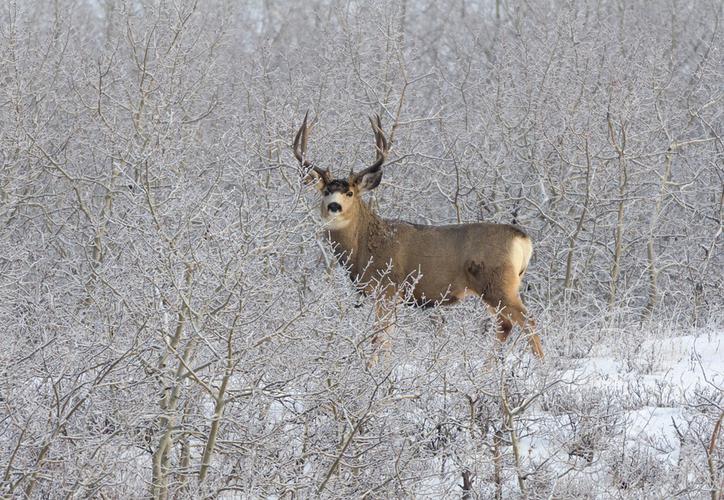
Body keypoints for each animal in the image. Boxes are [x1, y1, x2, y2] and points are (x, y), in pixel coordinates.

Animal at [294, 112, 544, 364]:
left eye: (350, 193)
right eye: (326, 191)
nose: (334, 206)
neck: (365, 246)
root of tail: (523, 239)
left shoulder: (388, 288)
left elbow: (378, 338)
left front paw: (372, 369)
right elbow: (387, 339)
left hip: (498, 283)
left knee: (528, 321)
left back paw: (540, 367)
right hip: (495, 288)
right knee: (505, 325)